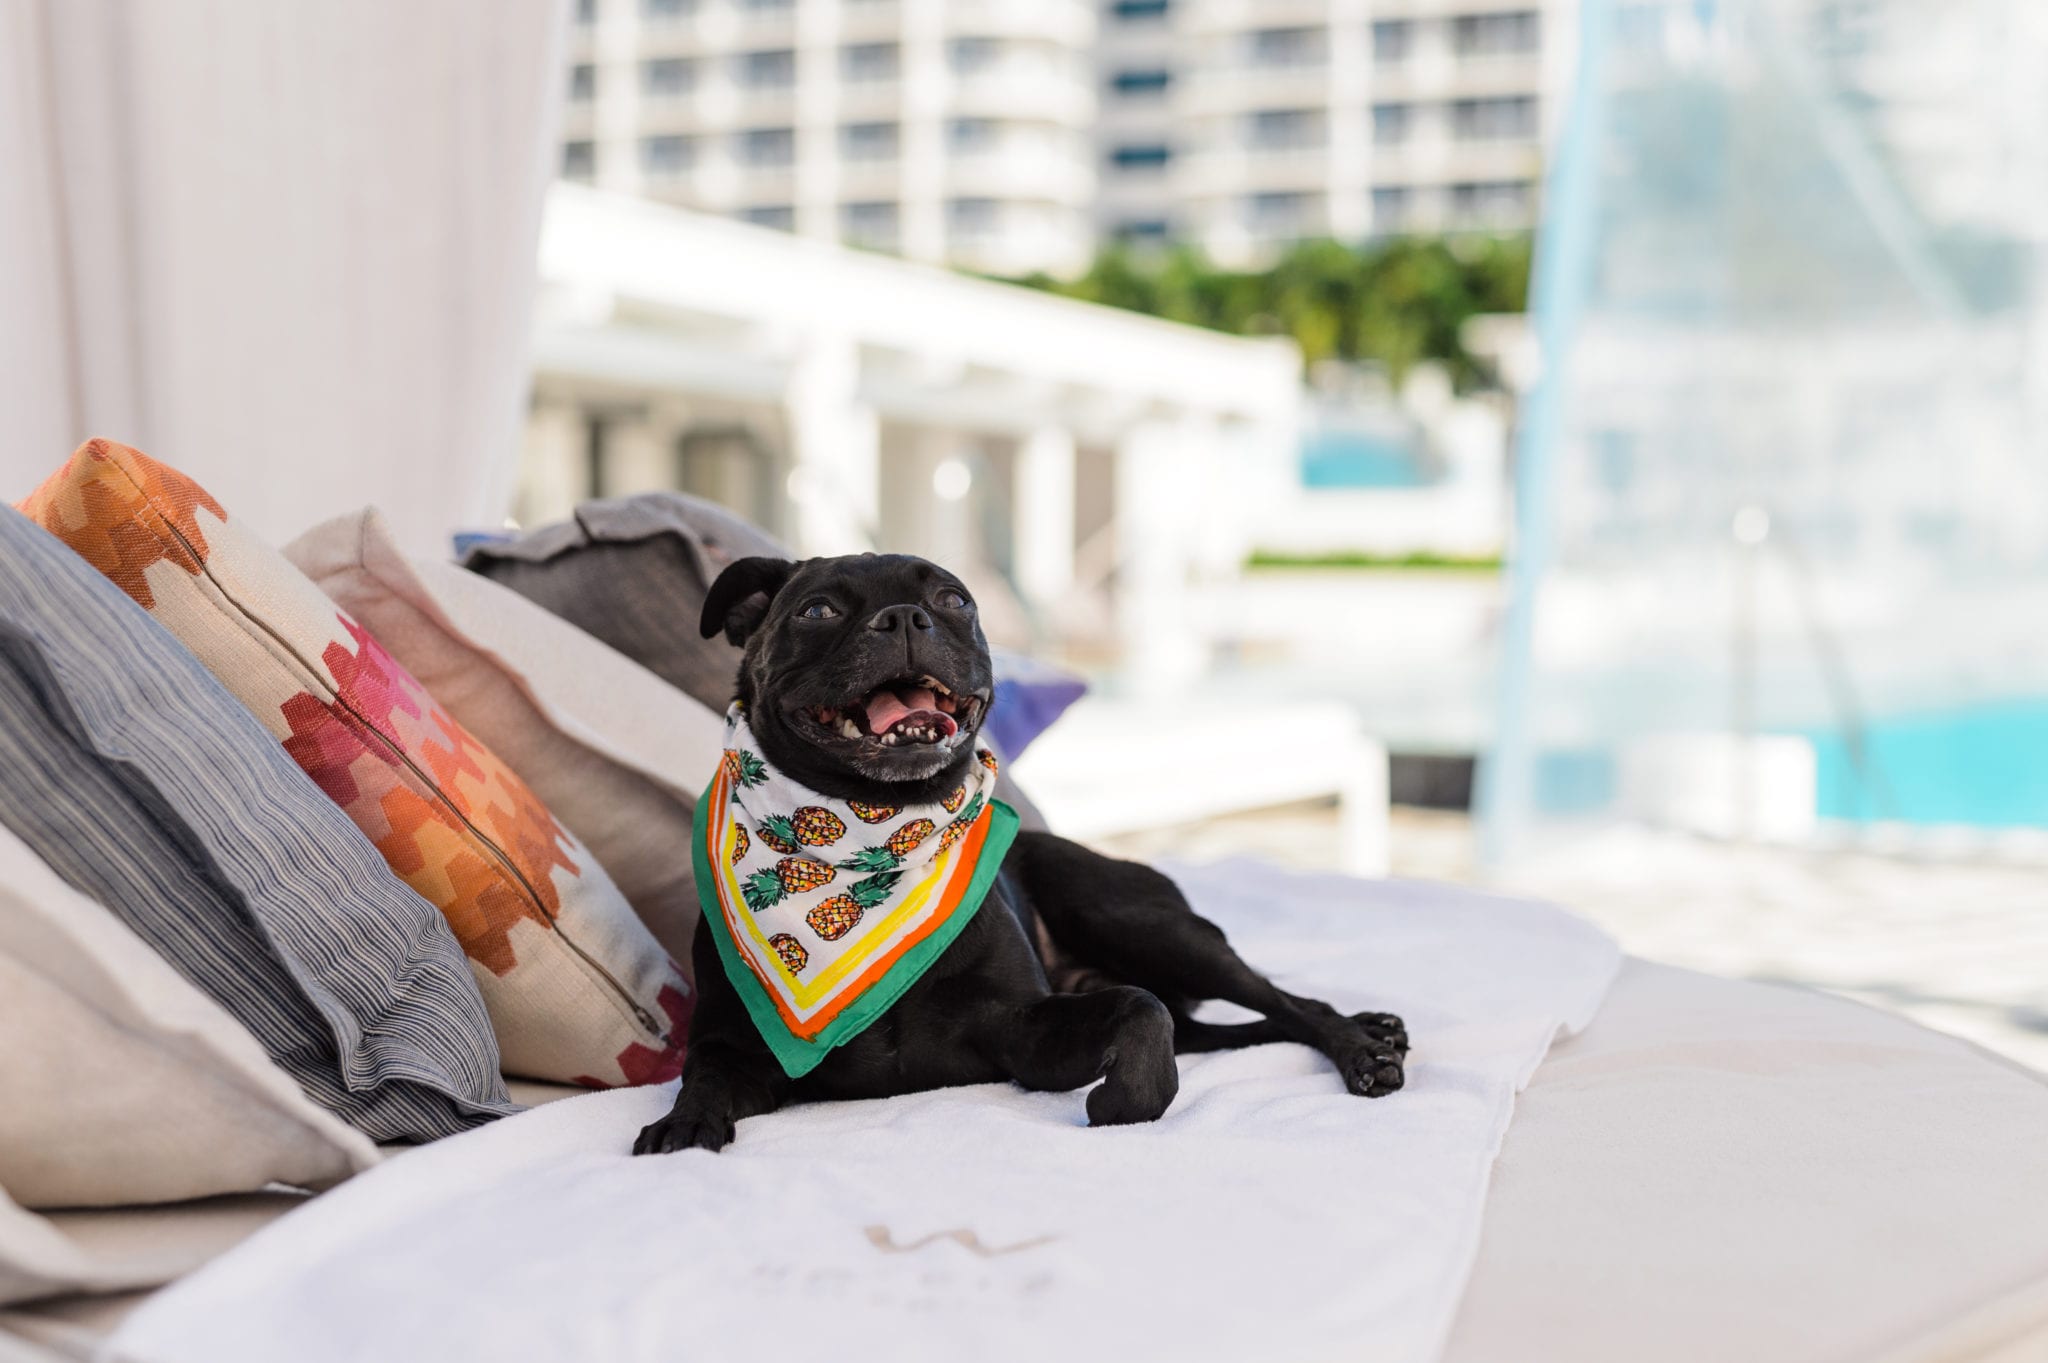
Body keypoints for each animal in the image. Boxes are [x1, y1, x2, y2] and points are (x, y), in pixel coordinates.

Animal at [634, 548, 1409, 1154]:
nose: (905, 618)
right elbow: (704, 1077)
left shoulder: (1024, 1034)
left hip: (1141, 922)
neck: (875, 837)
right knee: (1232, 1027)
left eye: (953, 600)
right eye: (817, 611)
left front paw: (1124, 1101)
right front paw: (684, 1125)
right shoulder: (733, 1045)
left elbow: (1140, 1011)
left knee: (1282, 999)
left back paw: (1364, 1048)